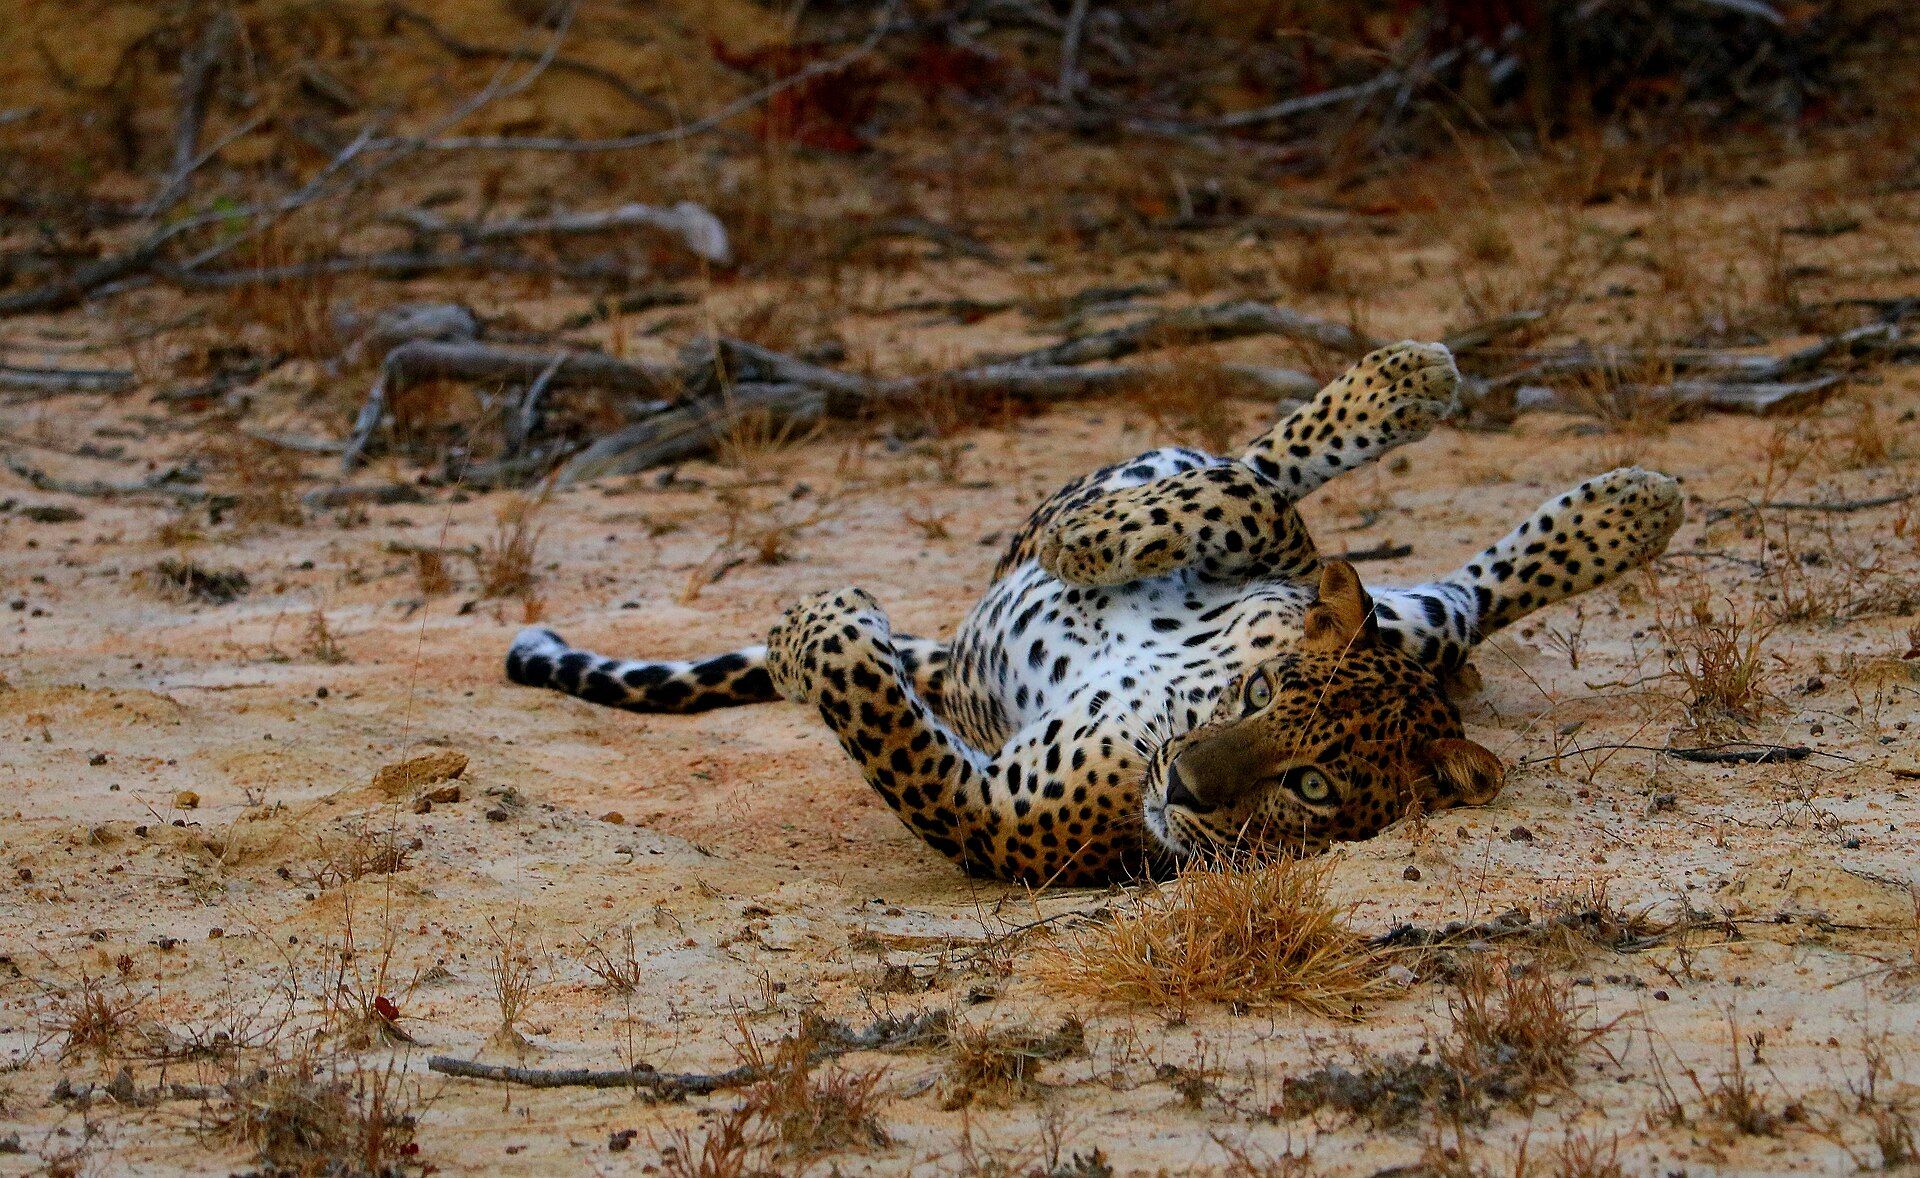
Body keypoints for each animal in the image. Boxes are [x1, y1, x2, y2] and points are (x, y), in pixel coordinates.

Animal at [506, 340, 1683, 886]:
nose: (1188, 784)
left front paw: (816, 631)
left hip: (1410, 618)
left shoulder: (995, 821)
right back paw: (1417, 386)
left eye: (1314, 788)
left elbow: (876, 714)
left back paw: (1629, 505)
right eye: (1262, 690)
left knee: (1464, 588)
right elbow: (1243, 498)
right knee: (1259, 481)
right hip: (1218, 527)